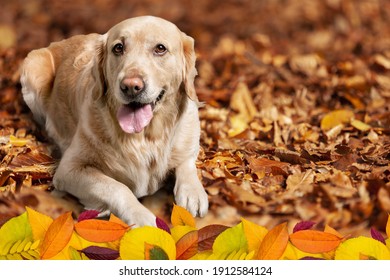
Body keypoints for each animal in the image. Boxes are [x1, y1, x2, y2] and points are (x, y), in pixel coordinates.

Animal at [20, 15, 210, 226]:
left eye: (160, 48)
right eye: (118, 48)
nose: (131, 86)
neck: (144, 138)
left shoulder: (188, 143)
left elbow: (186, 163)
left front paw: (193, 193)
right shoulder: (69, 169)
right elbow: (117, 187)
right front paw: (142, 216)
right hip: (33, 69)